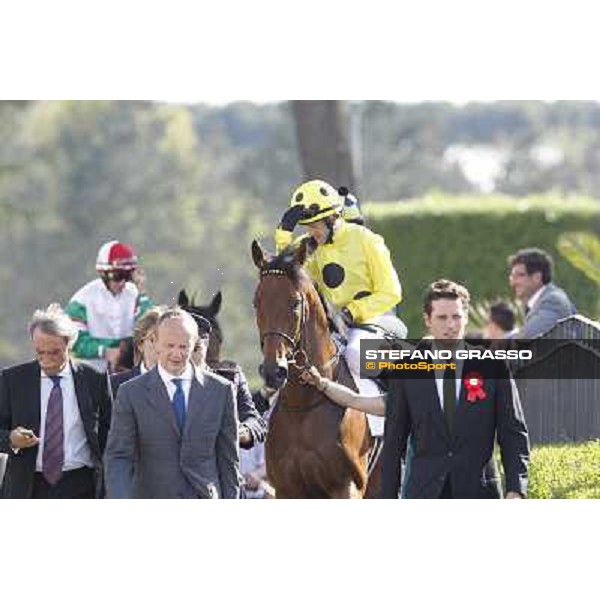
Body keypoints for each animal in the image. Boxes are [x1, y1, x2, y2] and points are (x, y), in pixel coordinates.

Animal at [251, 237, 378, 500]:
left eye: (295, 303)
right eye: (257, 303)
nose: (273, 371)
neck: (304, 404)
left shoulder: (346, 486)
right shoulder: (287, 490)